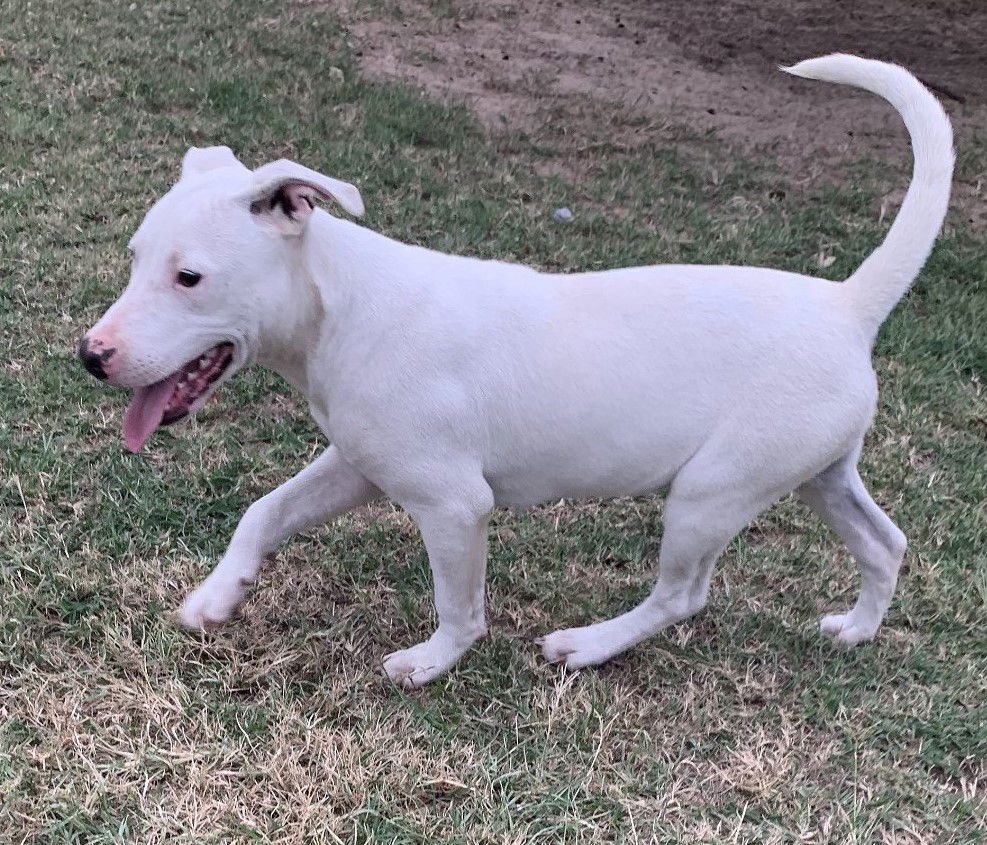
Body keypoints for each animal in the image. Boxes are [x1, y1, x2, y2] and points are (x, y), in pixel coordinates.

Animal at [81, 54, 952, 684]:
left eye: (189, 278)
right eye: (135, 258)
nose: (91, 357)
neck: (345, 308)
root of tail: (846, 304)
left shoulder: (453, 503)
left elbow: (460, 606)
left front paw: (430, 664)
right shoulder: (355, 464)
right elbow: (263, 512)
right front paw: (215, 597)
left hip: (712, 491)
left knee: (682, 593)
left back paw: (589, 644)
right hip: (819, 472)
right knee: (884, 544)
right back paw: (856, 629)